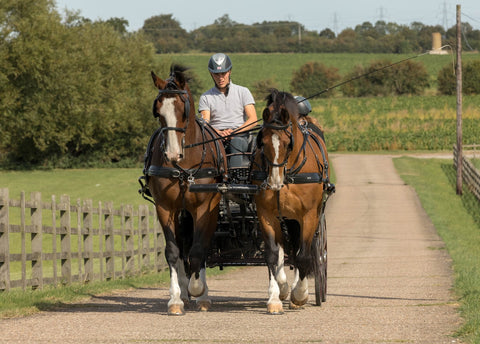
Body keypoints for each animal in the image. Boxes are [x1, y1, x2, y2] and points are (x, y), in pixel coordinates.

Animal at [146, 64, 227, 314]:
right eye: (158, 112)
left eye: (183, 111)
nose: (172, 154)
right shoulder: (165, 208)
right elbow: (173, 252)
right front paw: (176, 298)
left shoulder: (203, 209)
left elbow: (199, 250)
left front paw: (198, 290)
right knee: (183, 248)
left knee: (200, 248)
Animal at [251, 88, 334, 314]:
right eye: (263, 142)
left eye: (288, 144)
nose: (274, 183)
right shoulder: (267, 215)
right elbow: (273, 255)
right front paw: (278, 294)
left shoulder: (309, 216)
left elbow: (304, 256)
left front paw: (299, 295)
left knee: (301, 252)